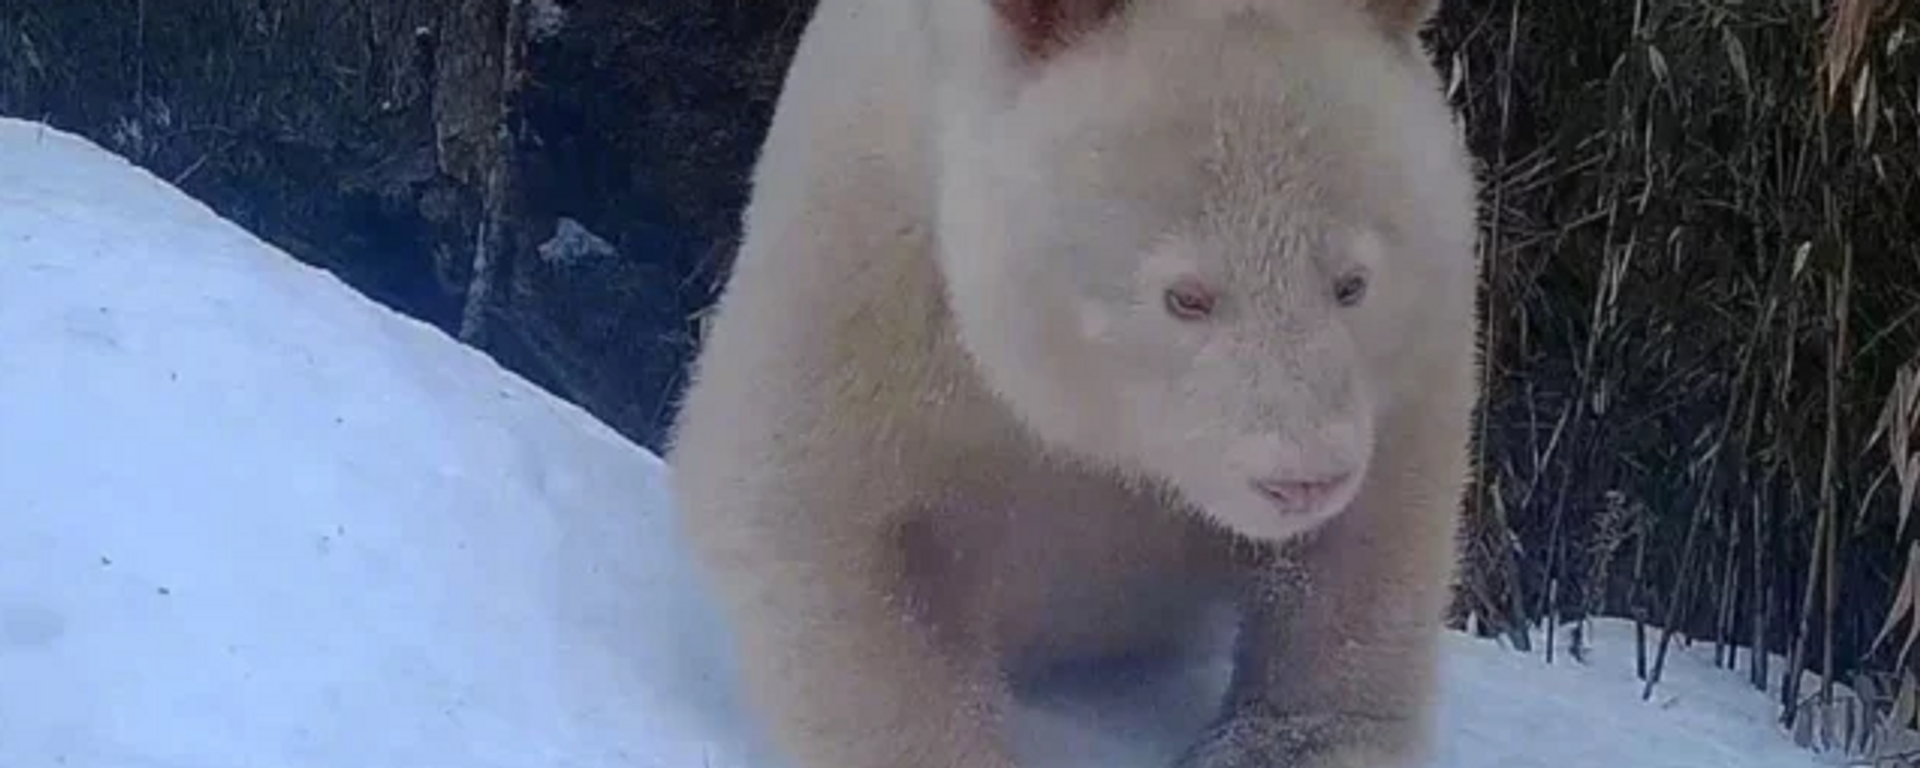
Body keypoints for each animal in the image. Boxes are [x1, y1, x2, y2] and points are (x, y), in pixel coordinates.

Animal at [664, 0, 1482, 764]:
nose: (1305, 479)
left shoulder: (1417, 356)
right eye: (1186, 296)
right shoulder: (874, 271)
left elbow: (1367, 552)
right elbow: (817, 514)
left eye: (1352, 284)